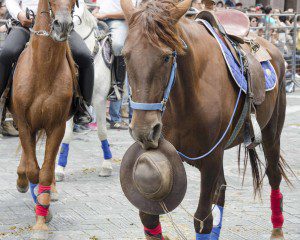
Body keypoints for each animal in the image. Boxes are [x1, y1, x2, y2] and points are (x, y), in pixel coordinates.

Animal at [10, 0, 78, 232]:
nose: (63, 25)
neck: (43, 70)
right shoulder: (24, 123)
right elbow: (34, 170)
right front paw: (41, 214)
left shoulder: (57, 126)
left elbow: (46, 172)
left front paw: (43, 213)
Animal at [120, 0, 290, 240]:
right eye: (126, 56)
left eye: (166, 56)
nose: (143, 130)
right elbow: (149, 217)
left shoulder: (211, 159)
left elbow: (202, 219)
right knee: (222, 191)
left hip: (271, 133)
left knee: (273, 174)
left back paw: (277, 229)